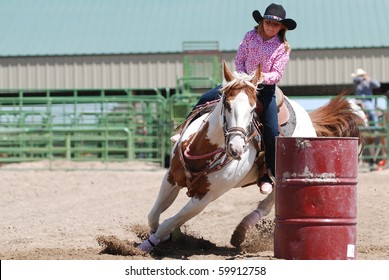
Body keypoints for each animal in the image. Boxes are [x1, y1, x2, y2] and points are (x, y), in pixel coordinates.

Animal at [137, 61, 364, 252]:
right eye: (227, 104)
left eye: (253, 108)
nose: (236, 148)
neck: (199, 152)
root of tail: (307, 117)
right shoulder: (171, 178)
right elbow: (153, 215)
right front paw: (162, 238)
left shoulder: (206, 197)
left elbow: (169, 221)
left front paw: (147, 245)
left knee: (268, 203)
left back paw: (241, 231)